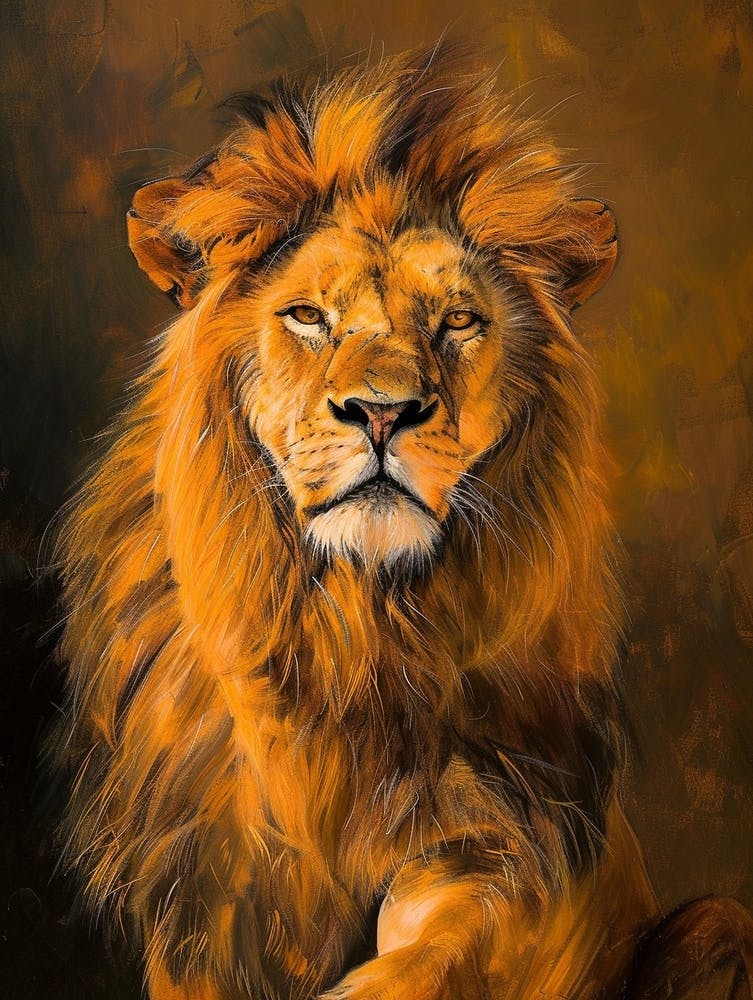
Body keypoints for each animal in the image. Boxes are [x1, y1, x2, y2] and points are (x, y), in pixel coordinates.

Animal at [50, 49, 753, 1000]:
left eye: (457, 321)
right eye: (308, 316)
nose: (382, 412)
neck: (351, 629)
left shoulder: (501, 842)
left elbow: (424, 949)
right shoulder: (202, 907)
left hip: (717, 924)